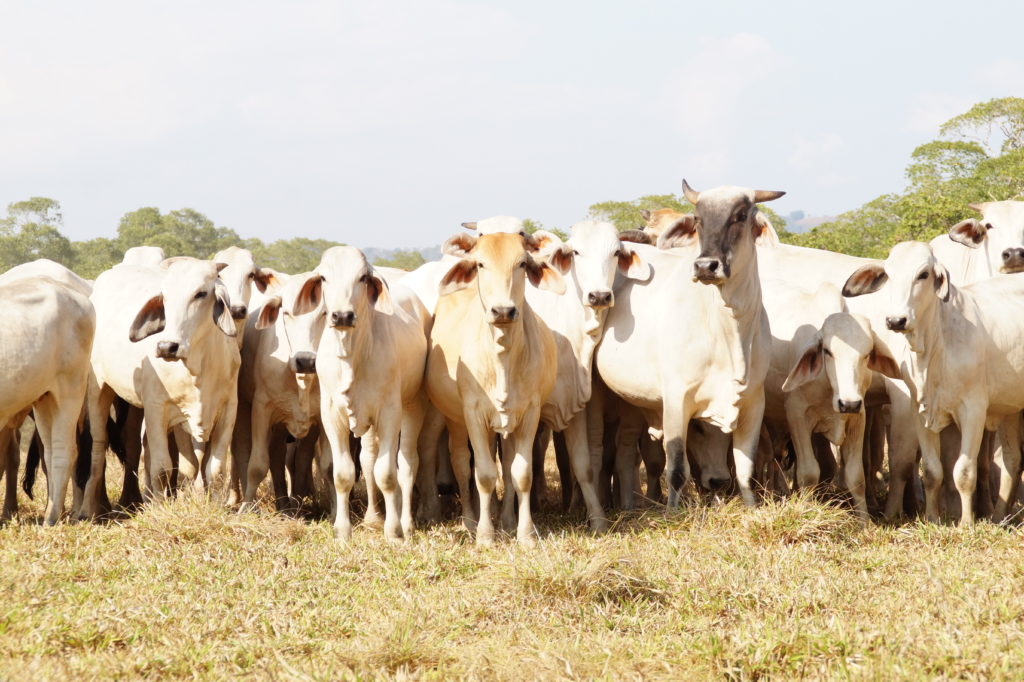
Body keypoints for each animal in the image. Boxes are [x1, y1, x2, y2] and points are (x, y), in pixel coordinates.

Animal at [80, 258, 241, 517]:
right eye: (164, 296)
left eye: (201, 293)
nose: (167, 346)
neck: (198, 367)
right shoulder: (157, 408)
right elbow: (162, 467)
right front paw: (158, 507)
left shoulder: (227, 409)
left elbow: (211, 469)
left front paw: (209, 506)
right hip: (98, 389)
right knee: (98, 447)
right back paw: (88, 509)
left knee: (141, 446)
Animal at [293, 246, 430, 542]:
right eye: (323, 277)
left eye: (363, 278)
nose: (342, 316)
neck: (352, 356)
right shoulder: (331, 415)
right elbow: (343, 474)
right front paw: (343, 531)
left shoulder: (389, 412)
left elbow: (387, 474)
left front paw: (393, 532)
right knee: (368, 460)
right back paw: (373, 518)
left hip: (413, 405)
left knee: (406, 464)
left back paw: (405, 522)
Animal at [426, 231, 564, 545]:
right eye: (480, 264)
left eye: (522, 263)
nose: (503, 310)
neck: (502, 357)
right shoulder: (473, 414)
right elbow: (484, 474)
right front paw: (485, 535)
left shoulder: (529, 414)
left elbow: (521, 473)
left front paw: (524, 533)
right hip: (455, 420)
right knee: (462, 463)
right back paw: (470, 520)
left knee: (507, 460)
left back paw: (506, 519)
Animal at [596, 181, 784, 509]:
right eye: (698, 219)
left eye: (741, 215)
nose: (705, 266)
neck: (728, 332)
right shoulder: (676, 401)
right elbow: (676, 469)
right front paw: (674, 512)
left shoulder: (753, 404)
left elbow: (745, 469)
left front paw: (752, 507)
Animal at [843, 240, 1024, 524]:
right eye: (888, 275)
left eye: (923, 274)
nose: (896, 320)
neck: (936, 347)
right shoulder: (921, 410)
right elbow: (932, 471)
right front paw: (932, 518)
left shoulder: (974, 410)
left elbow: (964, 472)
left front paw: (966, 523)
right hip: (1011, 408)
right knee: (1012, 460)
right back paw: (998, 517)